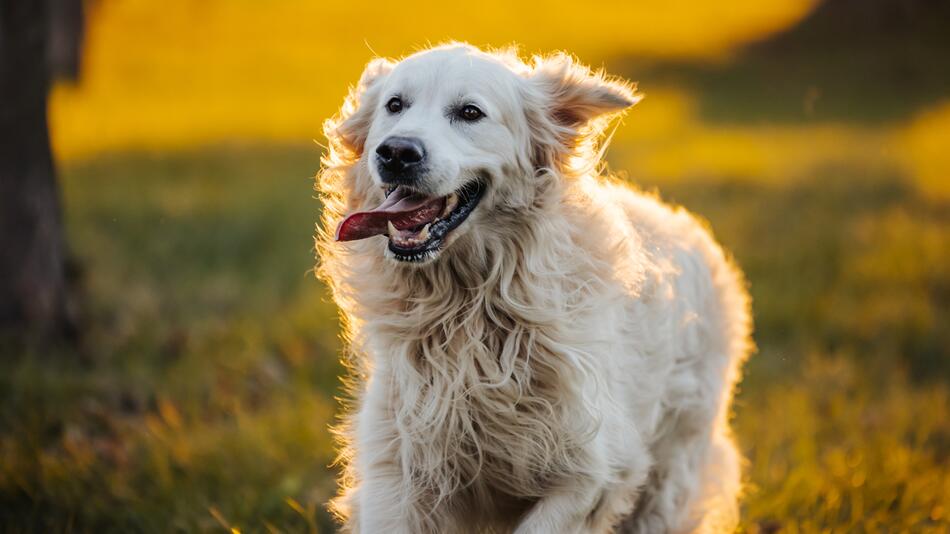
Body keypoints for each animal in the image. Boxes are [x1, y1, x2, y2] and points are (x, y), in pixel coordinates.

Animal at [316, 43, 756, 534]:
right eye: (395, 105)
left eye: (470, 112)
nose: (395, 152)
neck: (470, 310)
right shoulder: (395, 466)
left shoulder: (593, 471)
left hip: (671, 473)